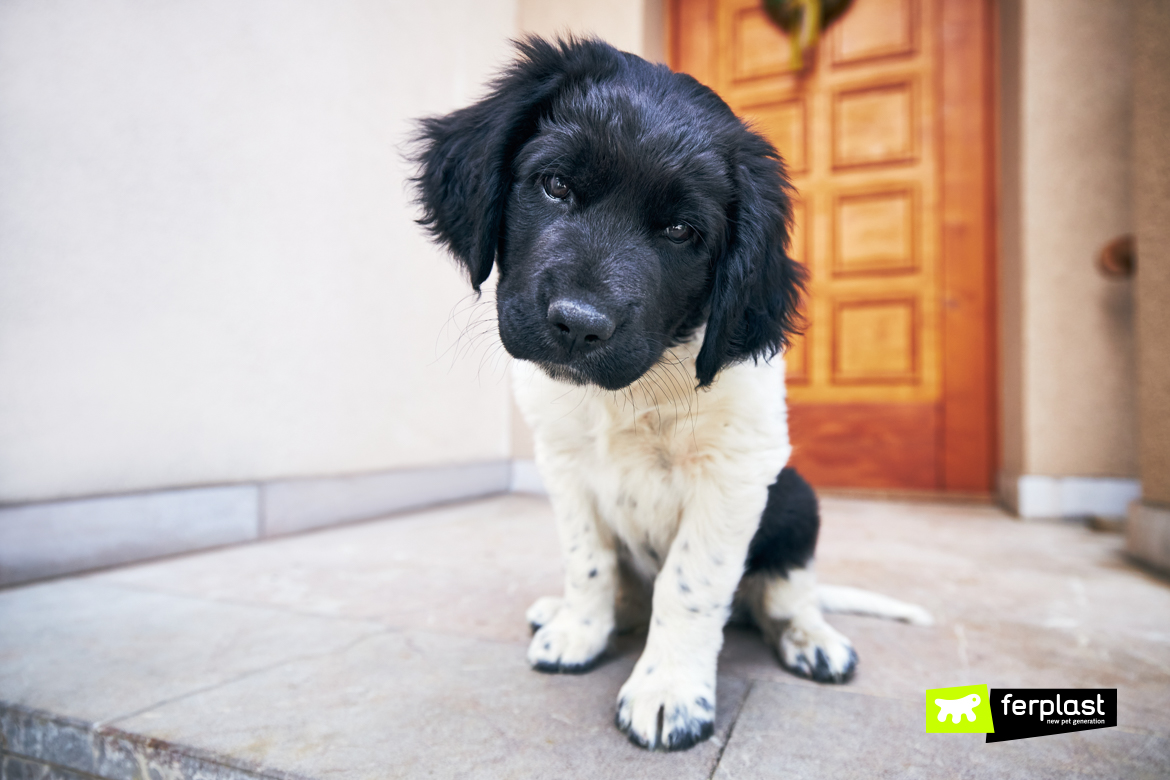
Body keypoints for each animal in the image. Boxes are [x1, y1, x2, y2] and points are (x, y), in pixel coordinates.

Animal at [416, 36, 926, 748]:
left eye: (682, 232)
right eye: (556, 185)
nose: (579, 324)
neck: (632, 391)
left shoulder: (734, 473)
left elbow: (690, 584)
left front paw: (669, 691)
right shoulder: (563, 463)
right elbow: (588, 558)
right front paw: (579, 631)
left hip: (796, 496)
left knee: (785, 593)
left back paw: (813, 638)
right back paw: (567, 613)